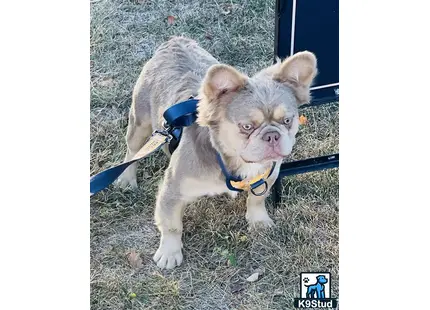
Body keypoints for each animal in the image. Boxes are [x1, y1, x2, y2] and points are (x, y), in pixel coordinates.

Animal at [116, 36, 316, 268]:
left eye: (287, 121)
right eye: (247, 126)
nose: (272, 135)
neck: (232, 161)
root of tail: (175, 41)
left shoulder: (269, 175)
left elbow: (256, 200)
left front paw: (259, 221)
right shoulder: (172, 191)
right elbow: (171, 224)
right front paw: (169, 252)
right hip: (140, 123)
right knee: (132, 152)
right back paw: (126, 179)